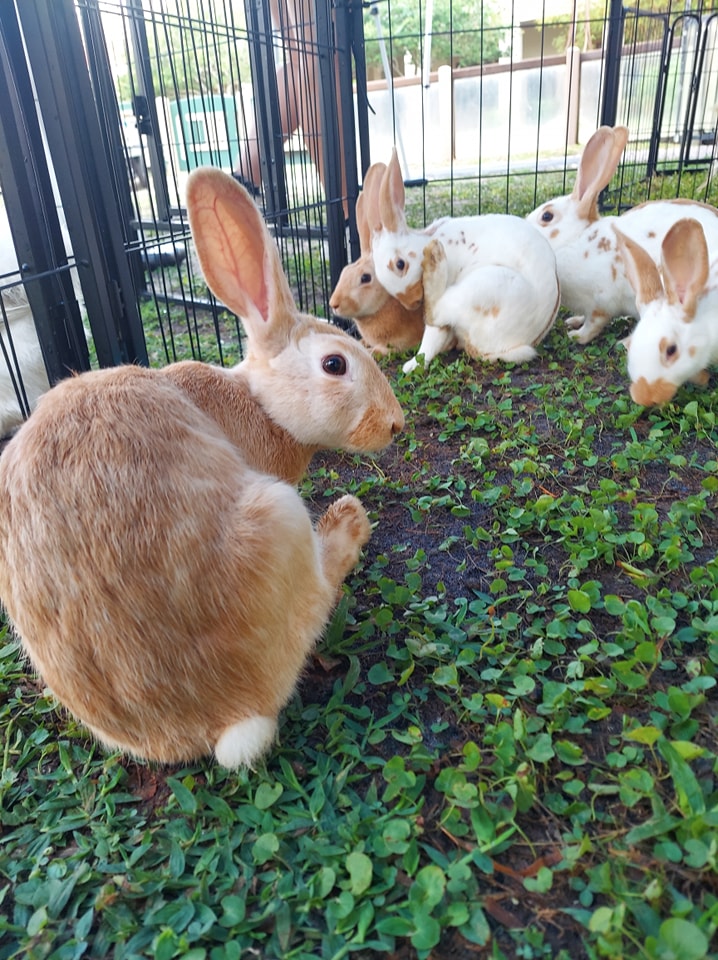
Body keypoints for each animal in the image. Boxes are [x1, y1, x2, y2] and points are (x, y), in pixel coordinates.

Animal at [0, 169, 404, 768]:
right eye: (335, 364)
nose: (396, 424)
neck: (260, 403)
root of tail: (220, 716)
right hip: (279, 518)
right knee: (317, 599)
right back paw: (347, 525)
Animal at [332, 161, 428, 356]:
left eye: (365, 278)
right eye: (345, 271)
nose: (333, 304)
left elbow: (382, 350)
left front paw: (370, 351)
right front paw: (361, 343)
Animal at [372, 151, 564, 376]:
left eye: (400, 264)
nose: (413, 302)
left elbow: (432, 335)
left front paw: (411, 366)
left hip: (484, 287)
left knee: (435, 313)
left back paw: (434, 260)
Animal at [524, 125, 718, 344]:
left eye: (547, 216)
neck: (576, 239)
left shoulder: (601, 301)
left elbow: (594, 323)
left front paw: (577, 335)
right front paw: (573, 321)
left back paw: (625, 342)